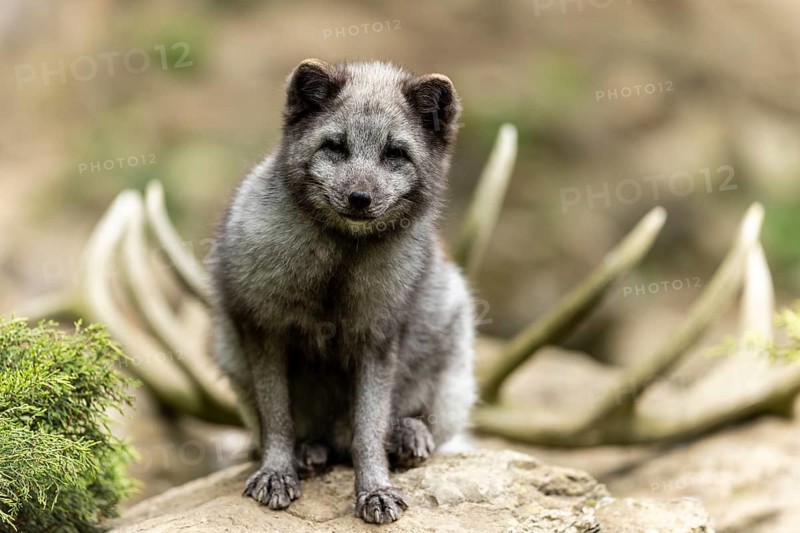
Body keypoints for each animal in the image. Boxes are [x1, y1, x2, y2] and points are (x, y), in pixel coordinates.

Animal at [209, 59, 476, 524]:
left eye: (395, 153)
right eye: (335, 146)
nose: (359, 198)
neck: (339, 263)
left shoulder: (377, 338)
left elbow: (367, 430)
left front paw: (376, 491)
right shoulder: (264, 328)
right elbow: (277, 418)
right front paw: (276, 473)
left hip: (452, 340)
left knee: (403, 427)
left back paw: (406, 435)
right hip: (228, 352)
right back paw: (308, 452)